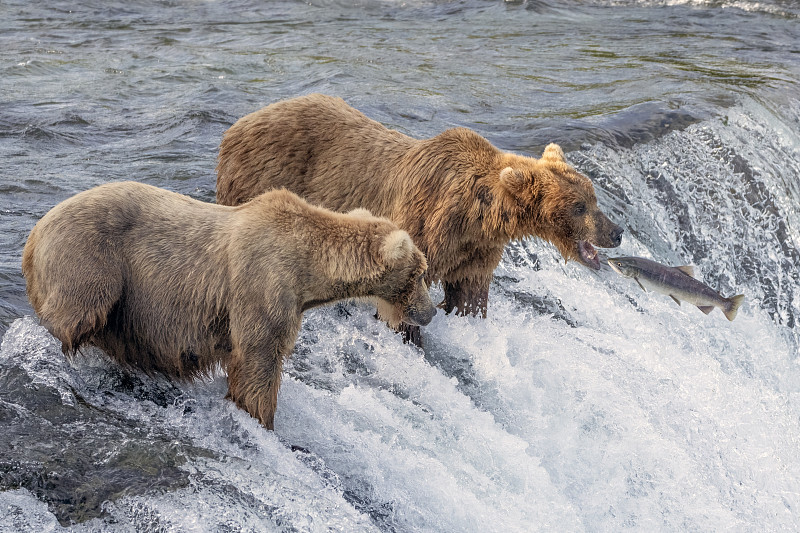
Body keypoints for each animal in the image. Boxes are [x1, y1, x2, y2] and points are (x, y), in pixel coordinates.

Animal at [23, 181, 438, 430]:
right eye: (421, 272)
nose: (431, 312)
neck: (307, 269)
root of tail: (34, 235)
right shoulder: (262, 289)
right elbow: (257, 362)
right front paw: (261, 419)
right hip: (91, 263)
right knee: (75, 314)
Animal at [217, 95, 624, 332]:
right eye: (580, 206)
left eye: (594, 198)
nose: (617, 232)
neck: (478, 217)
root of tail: (237, 125)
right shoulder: (424, 227)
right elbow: (402, 300)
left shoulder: (475, 253)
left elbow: (469, 295)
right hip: (260, 178)